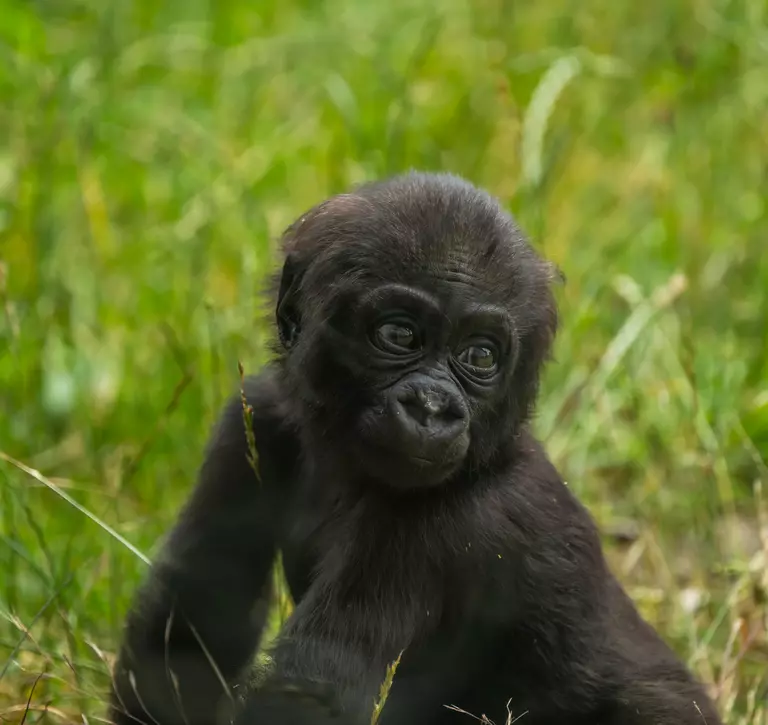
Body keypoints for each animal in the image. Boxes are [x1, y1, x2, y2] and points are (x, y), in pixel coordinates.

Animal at [111, 174, 724, 724]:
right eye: (400, 335)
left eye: (480, 356)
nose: (431, 408)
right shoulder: (256, 421)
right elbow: (191, 624)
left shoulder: (440, 524)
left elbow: (310, 695)